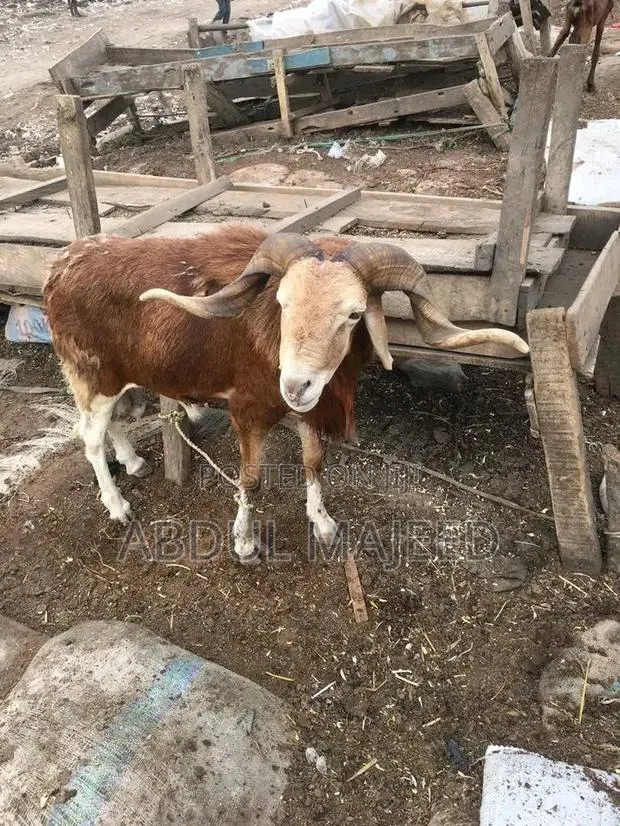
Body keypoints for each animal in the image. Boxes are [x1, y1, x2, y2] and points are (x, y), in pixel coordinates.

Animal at [44, 224, 529, 564]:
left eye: (354, 314)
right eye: (282, 302)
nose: (295, 385)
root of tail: (61, 265)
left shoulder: (307, 413)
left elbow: (314, 462)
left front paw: (324, 525)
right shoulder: (248, 412)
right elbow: (251, 480)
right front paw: (244, 544)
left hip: (113, 379)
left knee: (112, 424)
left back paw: (133, 461)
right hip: (92, 377)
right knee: (90, 438)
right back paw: (118, 506)